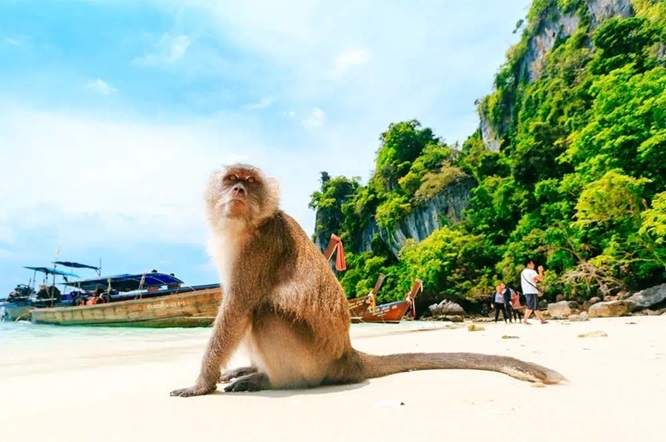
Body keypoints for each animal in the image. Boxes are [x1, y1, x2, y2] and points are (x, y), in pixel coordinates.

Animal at [169, 162, 564, 398]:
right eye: (231, 180)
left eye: (249, 183)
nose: (238, 191)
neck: (247, 226)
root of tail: (348, 357)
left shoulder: (260, 247)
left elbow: (237, 308)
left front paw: (201, 384)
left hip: (312, 360)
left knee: (263, 312)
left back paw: (269, 380)